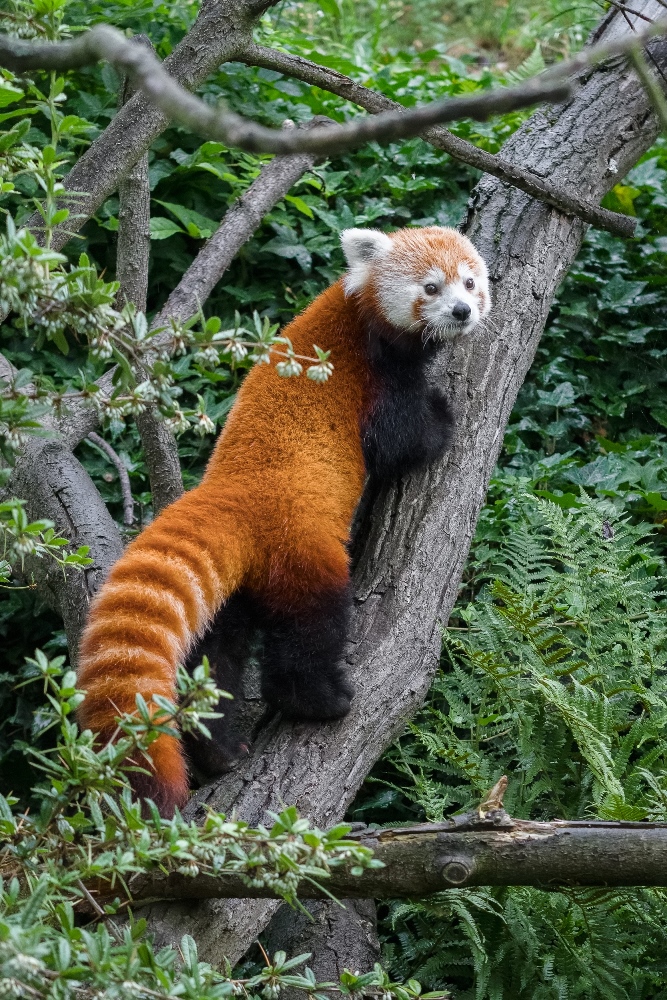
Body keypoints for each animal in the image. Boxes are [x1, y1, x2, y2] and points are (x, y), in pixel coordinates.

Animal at [75, 225, 490, 812]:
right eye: (431, 287)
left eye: (470, 282)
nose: (461, 311)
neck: (357, 308)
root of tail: (230, 494)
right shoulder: (376, 377)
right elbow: (400, 442)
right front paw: (443, 420)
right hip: (300, 544)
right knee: (310, 627)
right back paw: (320, 700)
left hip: (230, 593)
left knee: (213, 659)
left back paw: (220, 751)